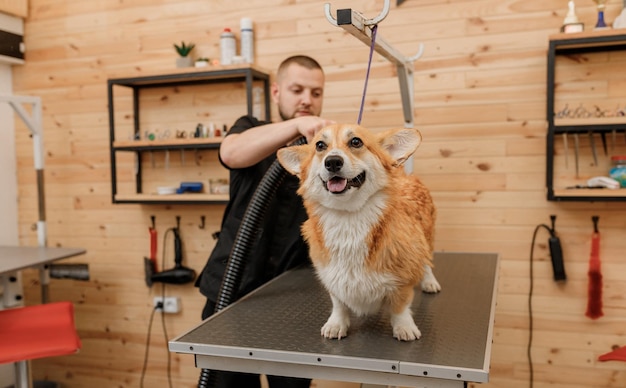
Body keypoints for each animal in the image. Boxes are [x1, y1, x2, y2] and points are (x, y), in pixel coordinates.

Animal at [276, 123, 442, 340]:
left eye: (356, 142)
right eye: (320, 145)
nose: (332, 162)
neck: (348, 218)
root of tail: (406, 176)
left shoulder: (403, 279)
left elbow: (400, 306)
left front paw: (404, 327)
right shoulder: (332, 278)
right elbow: (338, 304)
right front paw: (336, 324)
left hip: (427, 239)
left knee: (427, 264)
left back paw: (430, 282)